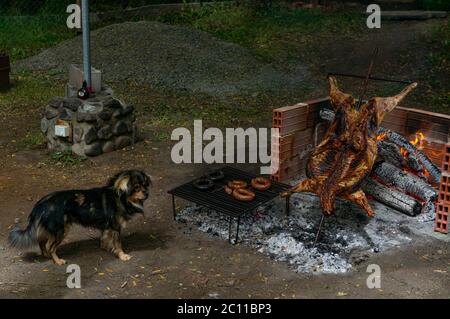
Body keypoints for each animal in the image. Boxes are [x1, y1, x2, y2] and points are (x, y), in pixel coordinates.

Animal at [7, 170, 151, 264]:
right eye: (136, 187)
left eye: (145, 185)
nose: (147, 194)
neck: (120, 197)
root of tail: (41, 203)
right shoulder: (115, 227)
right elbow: (118, 244)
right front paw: (122, 255)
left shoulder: (107, 228)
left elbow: (104, 239)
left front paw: (105, 248)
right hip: (61, 230)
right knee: (50, 246)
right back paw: (58, 261)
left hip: (51, 229)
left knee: (41, 242)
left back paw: (46, 256)